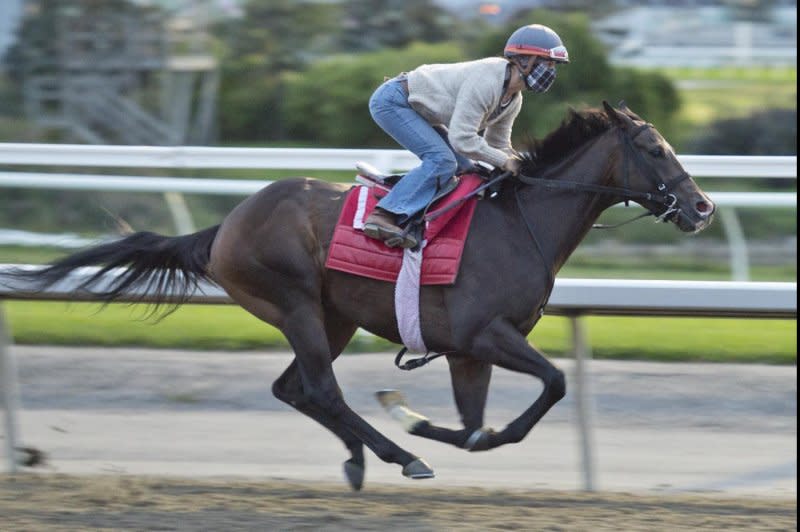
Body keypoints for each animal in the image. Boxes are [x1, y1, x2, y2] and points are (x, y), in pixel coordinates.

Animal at [9, 101, 716, 490]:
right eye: (655, 148)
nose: (703, 207)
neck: (522, 222)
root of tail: (225, 225)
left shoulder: (469, 351)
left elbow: (477, 427)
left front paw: (425, 421)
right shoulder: (484, 334)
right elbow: (552, 385)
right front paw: (412, 423)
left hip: (333, 317)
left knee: (295, 389)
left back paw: (361, 459)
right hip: (294, 303)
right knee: (320, 389)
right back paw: (400, 455)